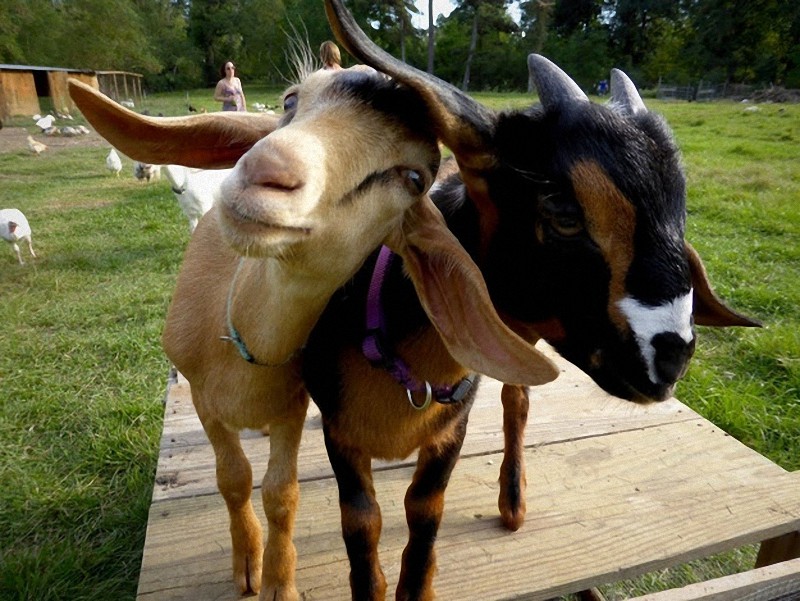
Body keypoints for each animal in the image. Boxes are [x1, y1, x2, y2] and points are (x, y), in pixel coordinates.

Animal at [300, 1, 764, 600]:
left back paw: (513, 499)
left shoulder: (453, 424)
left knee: (517, 401)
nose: (673, 358)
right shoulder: (341, 432)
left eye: (680, 216)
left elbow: (425, 508)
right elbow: (361, 519)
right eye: (563, 213)